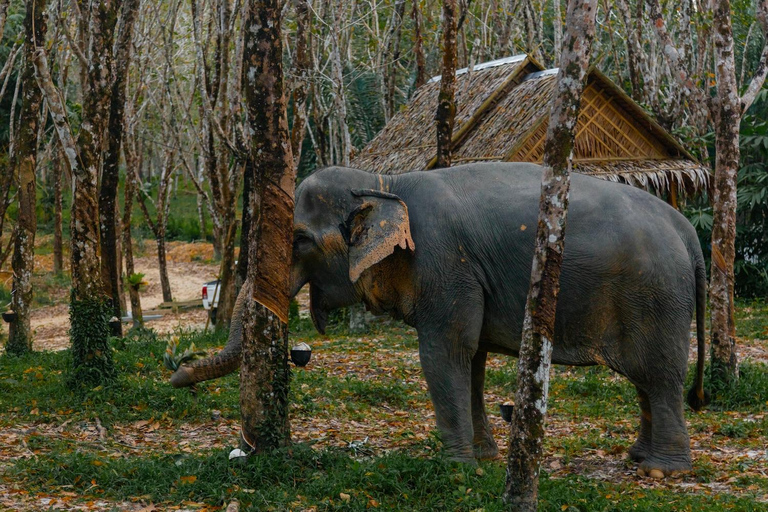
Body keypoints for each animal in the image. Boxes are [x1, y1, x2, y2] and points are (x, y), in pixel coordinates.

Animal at [172, 165, 708, 480]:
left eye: (301, 240)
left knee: (660, 376)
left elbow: (445, 351)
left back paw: (664, 472)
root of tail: (686, 228)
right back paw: (639, 458)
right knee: (645, 381)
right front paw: (484, 458)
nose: (178, 370)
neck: (385, 181)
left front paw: (456, 469)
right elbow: (472, 359)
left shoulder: (443, 261)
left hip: (656, 296)